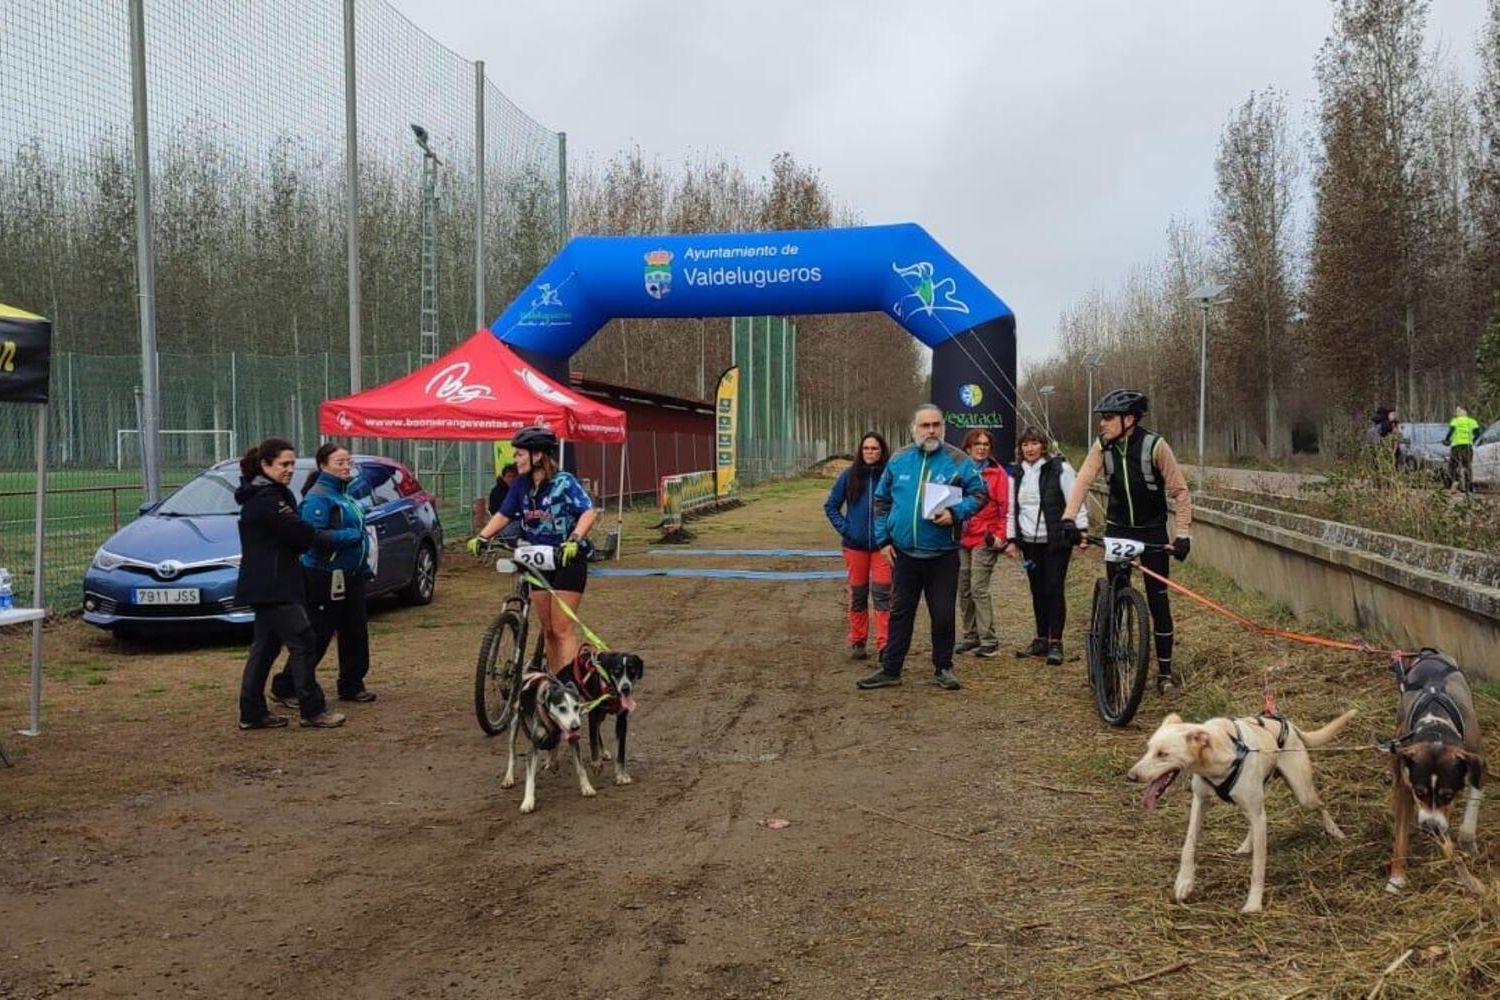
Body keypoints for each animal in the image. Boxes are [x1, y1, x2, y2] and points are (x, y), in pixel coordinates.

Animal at [507, 671, 594, 815]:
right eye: (562, 708)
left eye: (576, 707)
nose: (575, 727)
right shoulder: (533, 746)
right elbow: (530, 779)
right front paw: (528, 801)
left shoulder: (573, 740)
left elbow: (581, 768)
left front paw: (587, 787)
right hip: (514, 724)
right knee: (512, 754)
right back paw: (508, 778)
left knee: (554, 745)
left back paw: (552, 761)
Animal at [558, 653, 639, 785]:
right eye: (617, 671)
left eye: (632, 670)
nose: (625, 688)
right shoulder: (593, 713)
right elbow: (592, 739)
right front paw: (596, 763)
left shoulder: (622, 720)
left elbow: (621, 751)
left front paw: (621, 775)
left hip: (600, 715)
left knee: (598, 729)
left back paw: (603, 751)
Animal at [1128, 707, 1362, 911]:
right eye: (1148, 749)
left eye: (1163, 754)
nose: (1130, 776)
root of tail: (1290, 725)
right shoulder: (1200, 801)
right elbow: (1189, 844)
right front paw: (1184, 882)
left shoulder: (1256, 814)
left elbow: (1258, 867)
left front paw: (1254, 904)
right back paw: (1246, 845)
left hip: (1302, 794)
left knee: (1320, 805)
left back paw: (1335, 831)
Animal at [1380, 653, 1488, 893]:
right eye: (1419, 793)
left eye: (1448, 795)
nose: (1431, 828)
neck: (1436, 729)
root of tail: (1429, 654)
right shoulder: (1407, 786)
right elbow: (1401, 836)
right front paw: (1396, 878)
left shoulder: (1476, 759)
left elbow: (1472, 806)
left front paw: (1466, 840)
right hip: (1399, 728)